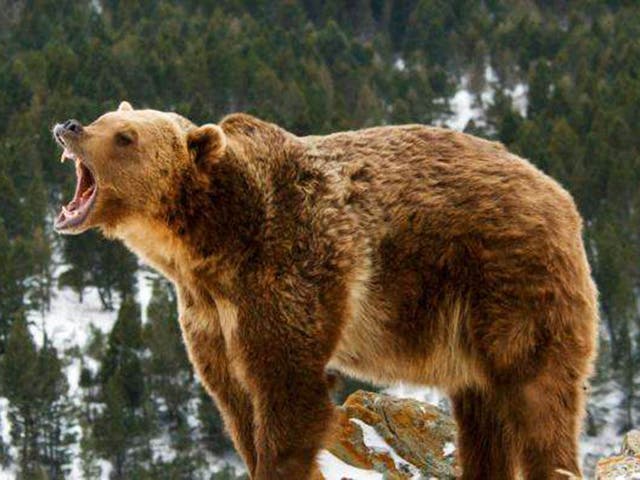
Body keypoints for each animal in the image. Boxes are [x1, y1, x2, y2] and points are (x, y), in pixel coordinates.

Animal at [53, 101, 598, 480]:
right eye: (106, 117)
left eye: (125, 136)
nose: (70, 126)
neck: (211, 246)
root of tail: (561, 196)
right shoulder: (209, 315)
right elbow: (236, 403)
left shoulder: (288, 270)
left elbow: (290, 392)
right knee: (483, 414)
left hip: (510, 282)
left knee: (537, 396)